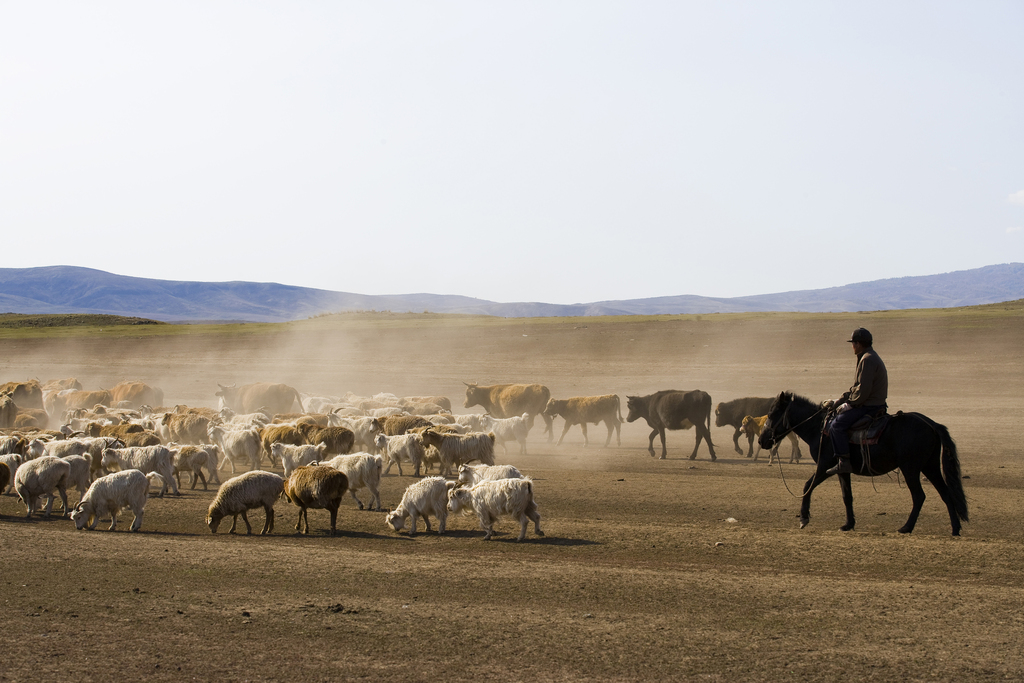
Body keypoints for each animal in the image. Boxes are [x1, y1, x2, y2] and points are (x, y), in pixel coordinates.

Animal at [761, 393, 966, 536]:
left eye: (772, 414)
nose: (762, 440)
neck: (819, 429)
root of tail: (931, 423)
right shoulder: (842, 469)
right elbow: (847, 496)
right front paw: (848, 524)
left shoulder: (824, 466)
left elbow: (807, 486)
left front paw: (804, 518)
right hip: (930, 467)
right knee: (946, 493)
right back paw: (955, 529)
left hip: (911, 468)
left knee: (919, 496)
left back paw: (906, 527)